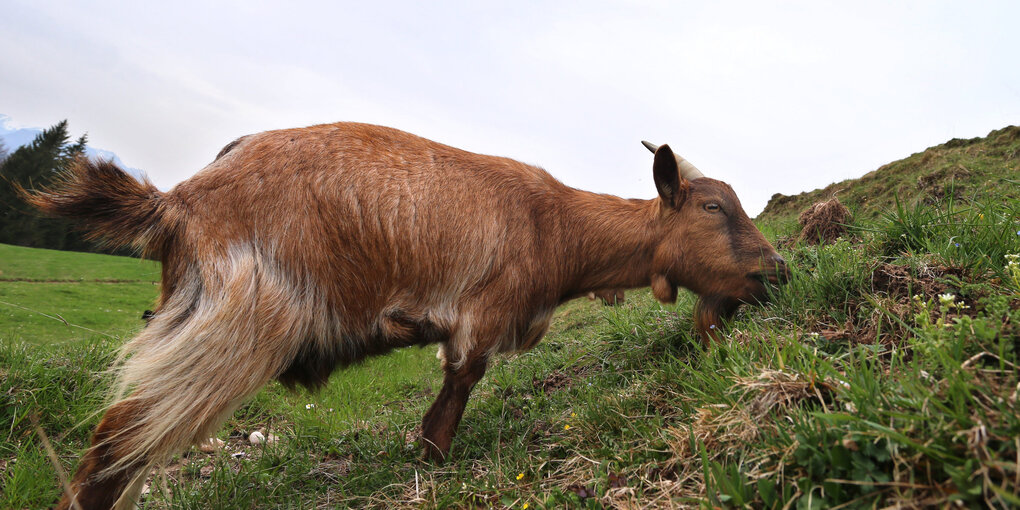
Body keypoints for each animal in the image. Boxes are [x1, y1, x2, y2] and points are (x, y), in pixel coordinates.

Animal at [25, 121, 787, 507]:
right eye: (713, 207)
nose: (776, 272)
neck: (555, 227)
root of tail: (177, 202)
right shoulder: (480, 317)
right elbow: (451, 403)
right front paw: (433, 466)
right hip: (236, 325)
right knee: (119, 441)